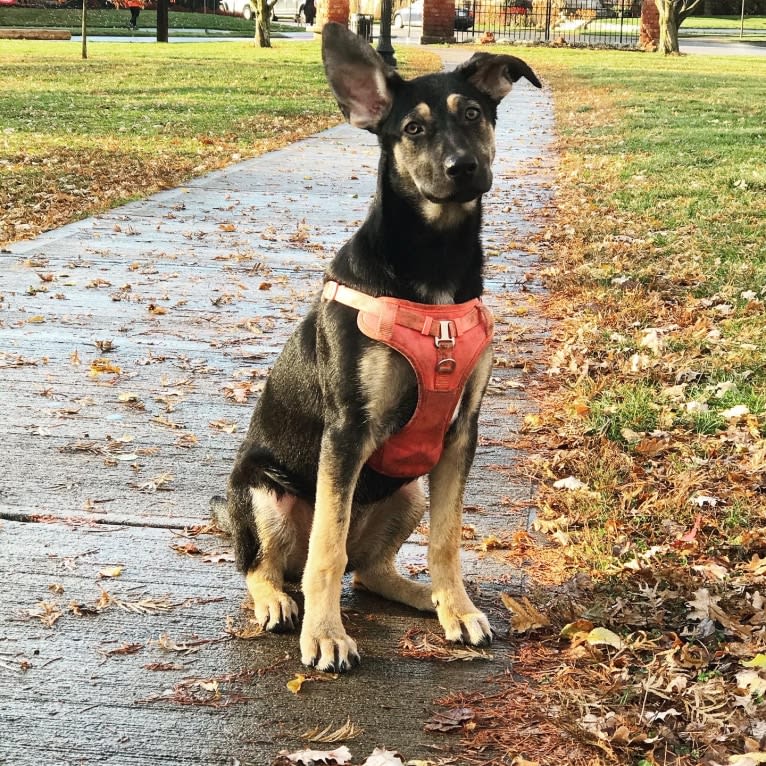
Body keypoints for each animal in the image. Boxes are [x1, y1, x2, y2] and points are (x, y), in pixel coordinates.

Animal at [213, 21, 544, 676]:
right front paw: (325, 636)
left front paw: (456, 606)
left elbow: (446, 539)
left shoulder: (460, 432)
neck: (434, 266)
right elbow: (326, 549)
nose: (462, 167)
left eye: (473, 114)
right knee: (269, 565)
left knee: (368, 571)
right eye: (412, 129)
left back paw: (425, 596)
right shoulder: (345, 433)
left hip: (408, 490)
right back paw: (276, 601)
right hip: (262, 492)